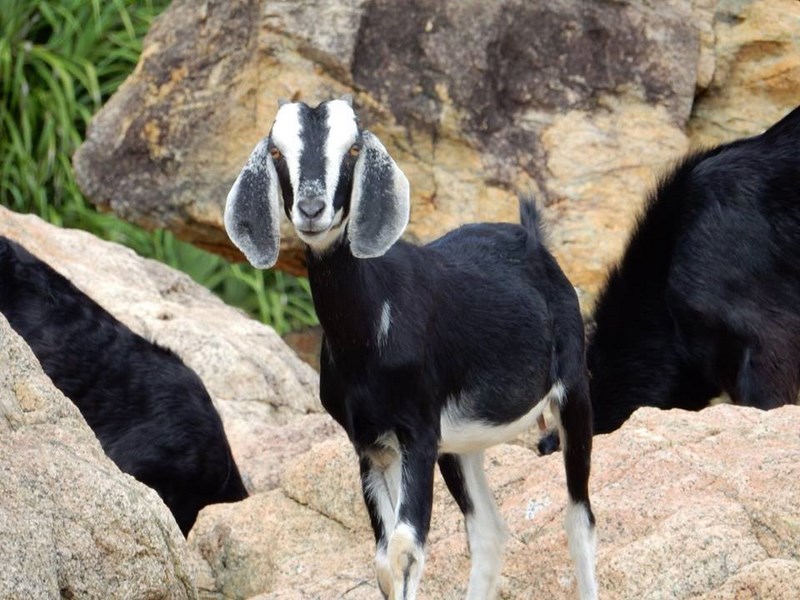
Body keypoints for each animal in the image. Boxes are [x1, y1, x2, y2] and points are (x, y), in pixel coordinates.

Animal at [224, 97, 597, 600]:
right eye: (278, 152)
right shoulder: (371, 443)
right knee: (488, 532)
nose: (311, 208)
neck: (367, 335)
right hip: (460, 444)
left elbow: (404, 552)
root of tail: (531, 239)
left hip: (573, 393)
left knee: (579, 521)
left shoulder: (417, 432)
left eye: (354, 149)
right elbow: (385, 561)